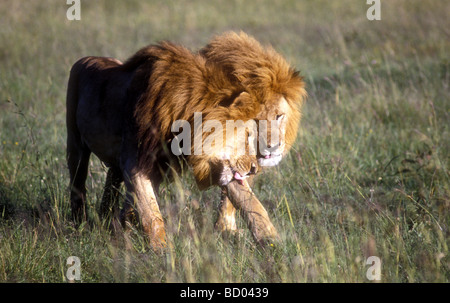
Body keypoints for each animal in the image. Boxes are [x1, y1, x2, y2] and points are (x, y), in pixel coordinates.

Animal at [66, 30, 306, 251]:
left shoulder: (218, 164)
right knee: (78, 185)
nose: (255, 167)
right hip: (75, 145)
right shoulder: (135, 162)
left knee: (112, 181)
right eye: (249, 131)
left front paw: (273, 243)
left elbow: (251, 203)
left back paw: (108, 218)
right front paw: (161, 252)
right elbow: (152, 213)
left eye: (279, 116)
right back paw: (78, 225)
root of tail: (89, 57)